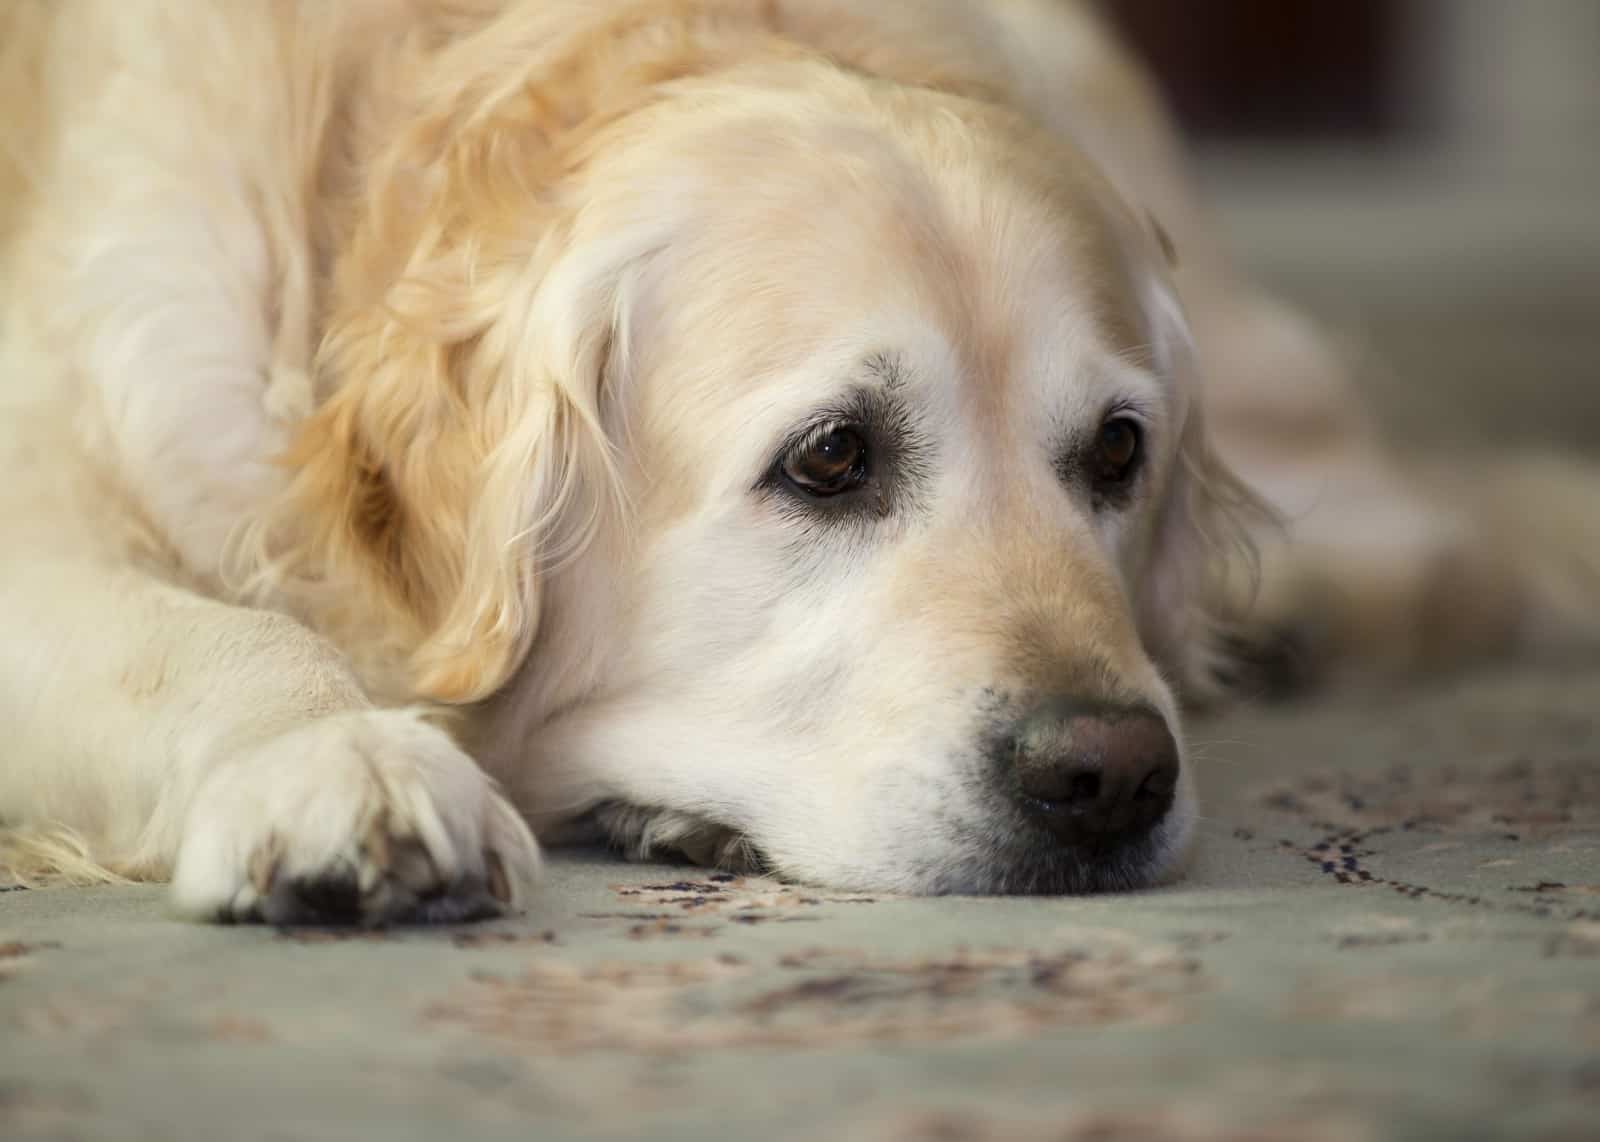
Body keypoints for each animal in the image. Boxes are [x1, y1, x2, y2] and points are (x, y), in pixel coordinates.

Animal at [3, 0, 1600, 921]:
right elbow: (216, 635)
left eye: (1116, 450)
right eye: (831, 457)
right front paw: (340, 761)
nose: (1114, 776)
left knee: (1441, 516)